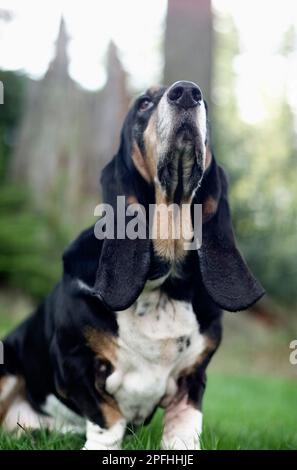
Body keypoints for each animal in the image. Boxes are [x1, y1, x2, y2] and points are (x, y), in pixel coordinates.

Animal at [0, 81, 264, 452]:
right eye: (143, 103)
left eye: (207, 106)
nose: (187, 92)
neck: (164, 287)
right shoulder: (73, 364)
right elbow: (109, 418)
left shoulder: (192, 379)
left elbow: (184, 430)